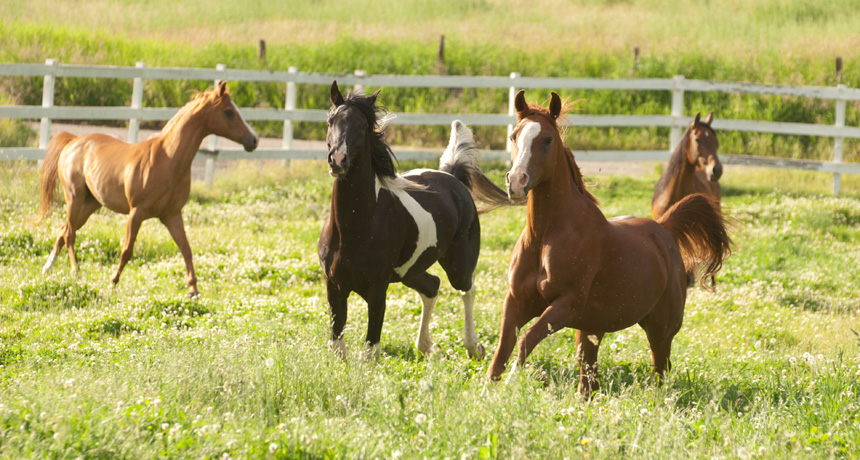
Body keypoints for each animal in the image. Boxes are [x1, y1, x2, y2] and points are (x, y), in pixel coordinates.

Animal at [37, 81, 258, 297]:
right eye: (229, 112)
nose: (254, 140)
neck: (168, 160)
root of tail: (72, 141)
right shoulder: (136, 213)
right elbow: (127, 250)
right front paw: (112, 283)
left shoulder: (172, 215)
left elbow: (186, 249)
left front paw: (193, 290)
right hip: (75, 198)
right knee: (70, 234)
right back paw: (76, 272)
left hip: (90, 204)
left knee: (64, 230)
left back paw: (47, 269)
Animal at [319, 81, 510, 360]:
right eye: (330, 121)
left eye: (363, 126)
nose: (338, 160)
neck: (354, 229)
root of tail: (452, 177)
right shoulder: (334, 287)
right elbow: (337, 347)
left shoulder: (377, 291)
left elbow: (370, 350)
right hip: (409, 270)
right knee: (432, 286)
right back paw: (428, 346)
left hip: (458, 266)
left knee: (467, 288)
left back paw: (473, 347)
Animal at [487, 91, 731, 396]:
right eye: (514, 136)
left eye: (547, 139)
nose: (517, 182)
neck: (544, 237)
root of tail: (664, 230)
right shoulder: (516, 301)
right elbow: (501, 352)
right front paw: (485, 394)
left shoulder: (565, 305)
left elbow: (525, 341)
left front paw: (510, 385)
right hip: (591, 331)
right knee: (589, 380)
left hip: (660, 329)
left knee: (661, 370)